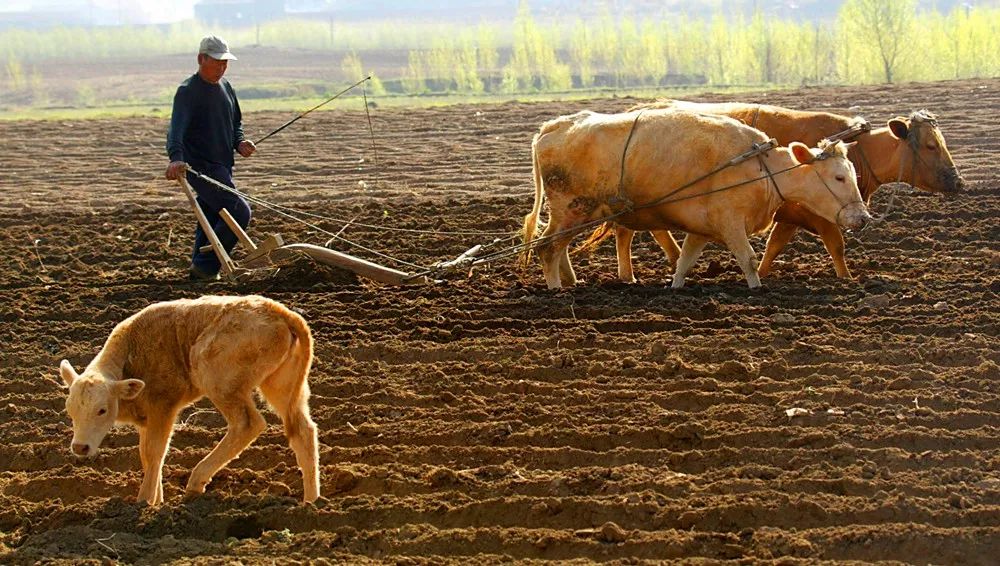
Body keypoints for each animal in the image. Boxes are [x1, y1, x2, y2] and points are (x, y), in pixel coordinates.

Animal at [60, 298, 318, 506]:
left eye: (102, 410)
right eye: (70, 411)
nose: (80, 447)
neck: (131, 355)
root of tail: (279, 312)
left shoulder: (163, 407)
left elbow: (154, 452)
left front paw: (144, 502)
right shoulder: (147, 418)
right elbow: (146, 454)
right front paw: (157, 500)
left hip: (217, 379)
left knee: (248, 424)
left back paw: (196, 481)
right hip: (280, 384)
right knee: (303, 430)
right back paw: (312, 501)